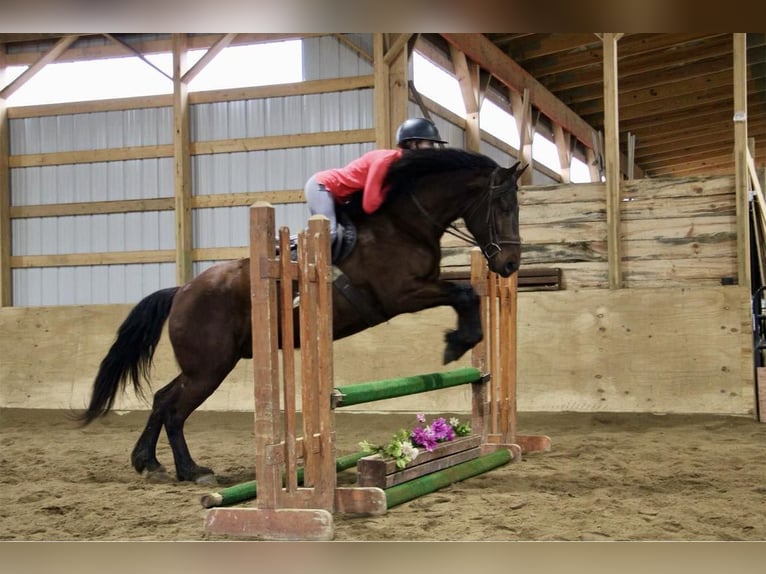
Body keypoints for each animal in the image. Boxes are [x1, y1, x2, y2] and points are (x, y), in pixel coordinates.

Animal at [76, 146, 528, 484]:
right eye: (504, 205)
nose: (509, 265)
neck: (406, 221)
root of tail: (183, 291)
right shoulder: (402, 293)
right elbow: (465, 293)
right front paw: (457, 343)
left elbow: (467, 293)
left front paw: (461, 341)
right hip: (210, 367)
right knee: (173, 409)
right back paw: (191, 471)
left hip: (207, 364)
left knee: (161, 398)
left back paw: (148, 463)